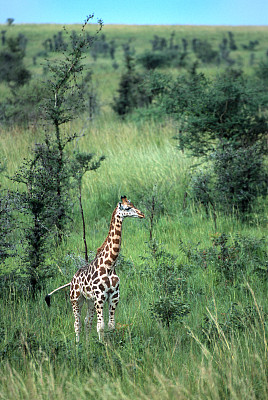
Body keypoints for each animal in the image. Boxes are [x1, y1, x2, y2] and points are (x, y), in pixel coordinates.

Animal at [45, 195, 144, 342]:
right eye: (127, 208)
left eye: (133, 205)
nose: (141, 214)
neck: (109, 265)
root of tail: (72, 280)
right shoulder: (100, 297)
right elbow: (100, 326)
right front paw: (103, 345)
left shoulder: (114, 296)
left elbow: (110, 325)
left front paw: (109, 344)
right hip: (76, 299)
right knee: (77, 323)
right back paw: (78, 344)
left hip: (89, 301)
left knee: (87, 321)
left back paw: (86, 344)